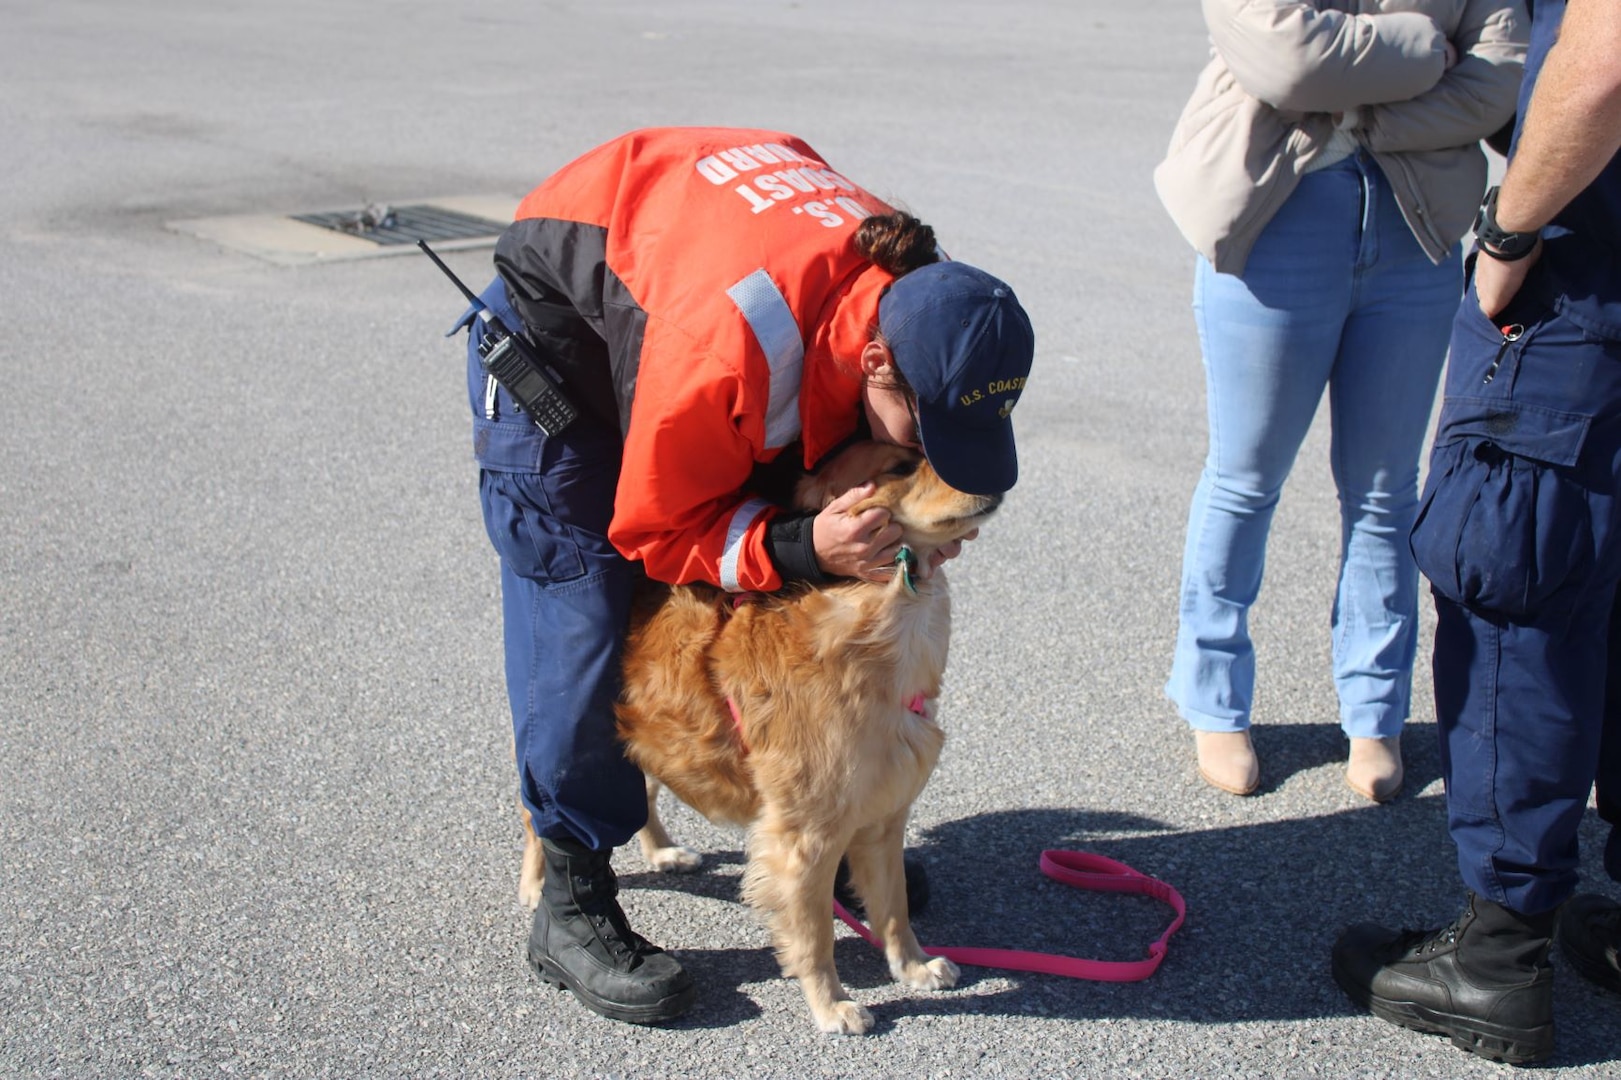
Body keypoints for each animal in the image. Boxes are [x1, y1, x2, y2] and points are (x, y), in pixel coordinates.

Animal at [518, 441, 998, 1037]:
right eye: (900, 467)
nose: (992, 480)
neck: (877, 614)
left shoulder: (885, 819)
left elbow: (895, 908)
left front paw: (911, 967)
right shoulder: (804, 838)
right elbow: (814, 935)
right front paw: (830, 1004)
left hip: (657, 739)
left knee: (645, 791)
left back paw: (662, 851)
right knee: (537, 808)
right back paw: (536, 884)